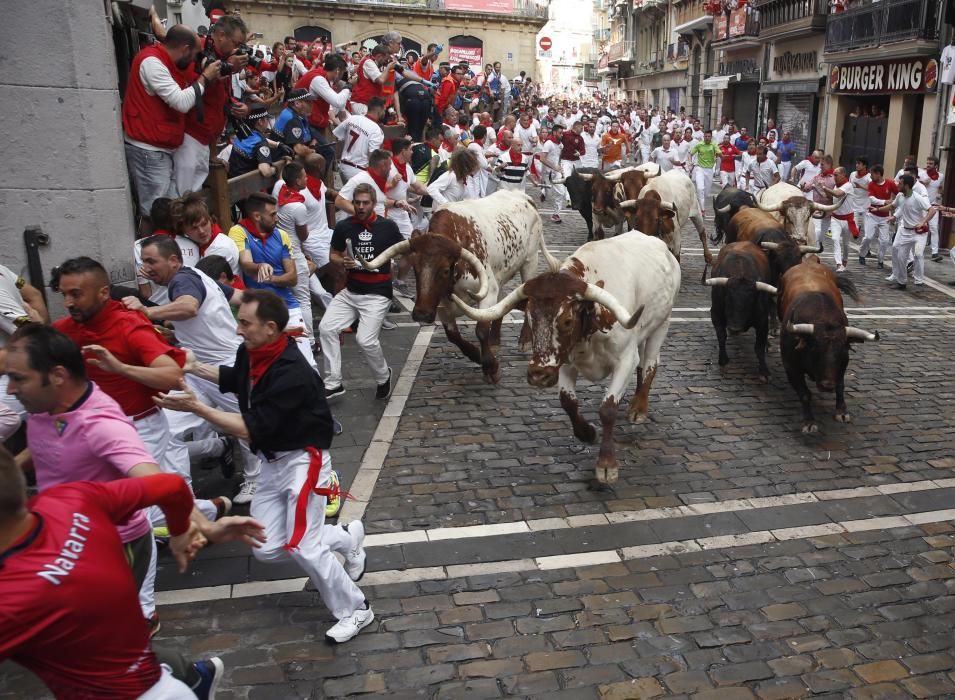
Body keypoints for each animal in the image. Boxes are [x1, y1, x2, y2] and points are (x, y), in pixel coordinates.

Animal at [356, 189, 560, 386]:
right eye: (415, 267)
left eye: (445, 270)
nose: (421, 314)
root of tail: (522, 195)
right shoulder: (441, 303)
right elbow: (453, 335)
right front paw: (477, 356)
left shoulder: (487, 292)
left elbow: (481, 330)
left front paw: (491, 368)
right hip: (501, 274)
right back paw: (495, 340)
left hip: (530, 262)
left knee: (529, 298)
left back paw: (524, 340)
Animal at [450, 232, 680, 490]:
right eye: (529, 318)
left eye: (568, 321)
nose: (538, 375)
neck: (593, 319)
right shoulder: (564, 363)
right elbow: (567, 403)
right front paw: (588, 433)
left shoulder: (626, 360)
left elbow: (608, 409)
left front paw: (606, 465)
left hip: (662, 324)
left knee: (649, 364)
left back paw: (639, 408)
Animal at [780, 254, 876, 434]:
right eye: (814, 349)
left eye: (841, 351)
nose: (826, 385)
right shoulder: (790, 366)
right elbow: (804, 393)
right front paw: (809, 422)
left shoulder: (843, 364)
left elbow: (840, 385)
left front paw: (842, 411)